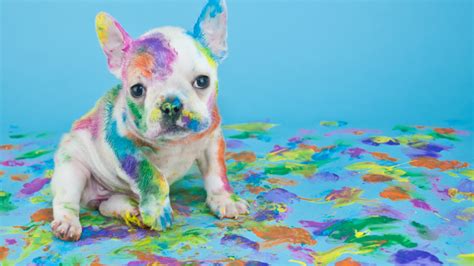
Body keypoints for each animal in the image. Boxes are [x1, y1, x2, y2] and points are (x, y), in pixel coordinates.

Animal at [50, 0, 248, 241]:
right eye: (137, 90)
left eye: (202, 81)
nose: (171, 105)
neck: (176, 142)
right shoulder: (124, 146)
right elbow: (152, 175)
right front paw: (157, 212)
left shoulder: (211, 142)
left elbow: (217, 172)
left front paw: (224, 199)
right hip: (71, 166)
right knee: (66, 200)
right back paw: (68, 224)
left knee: (107, 206)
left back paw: (130, 209)